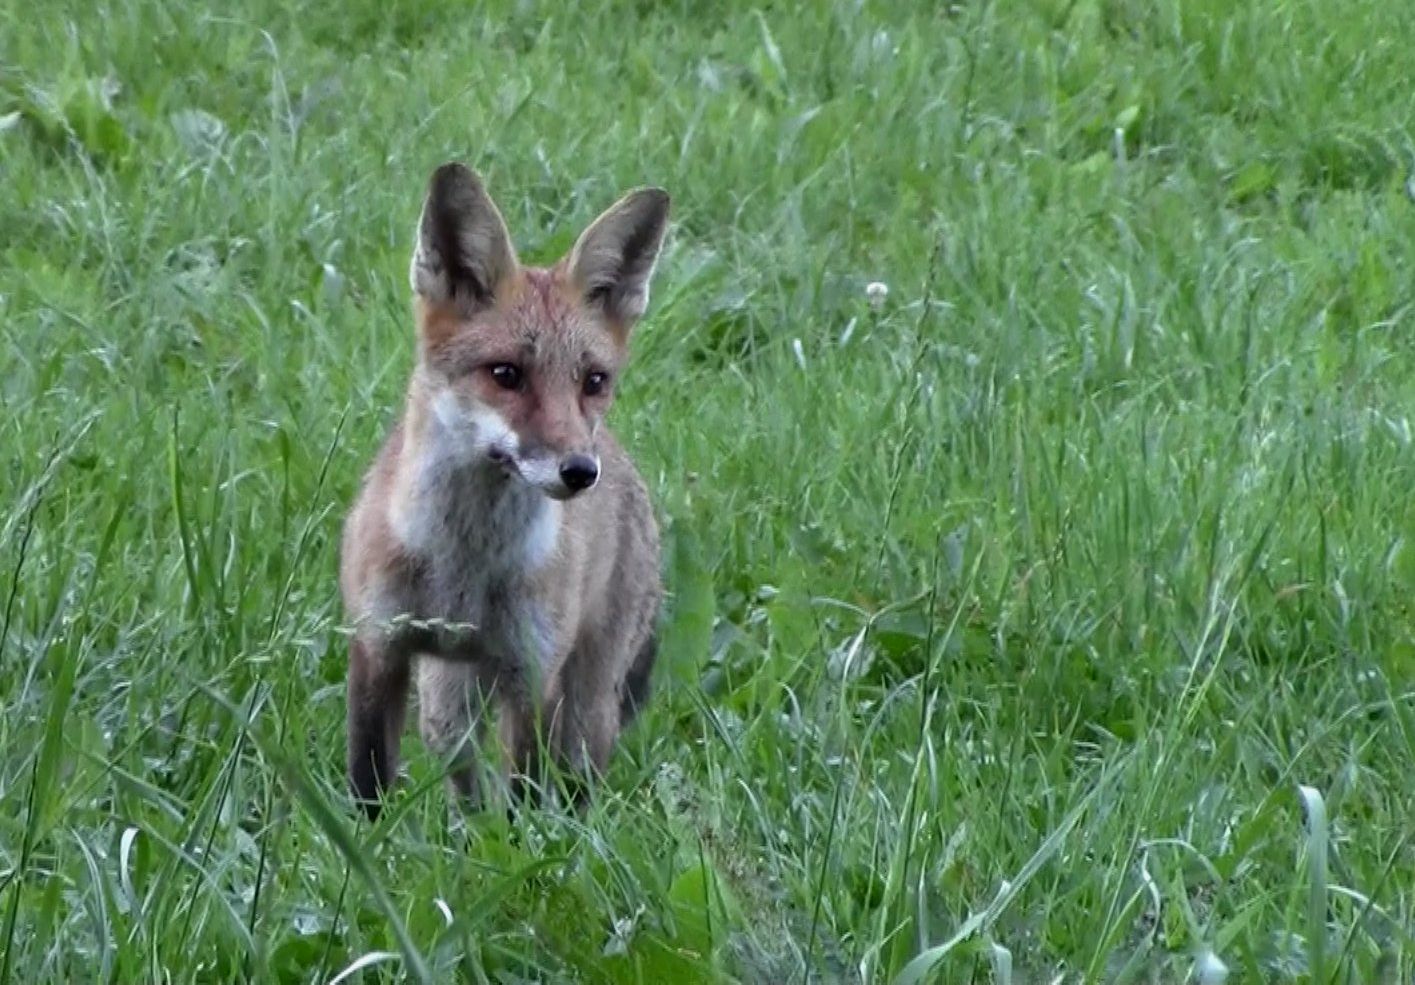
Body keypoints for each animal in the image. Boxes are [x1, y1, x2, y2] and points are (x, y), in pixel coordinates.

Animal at [342, 163, 673, 820]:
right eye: (505, 375)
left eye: (593, 381)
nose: (580, 471)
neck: (461, 564)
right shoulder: (377, 644)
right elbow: (367, 787)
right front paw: (356, 842)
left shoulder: (533, 675)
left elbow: (523, 804)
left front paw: (521, 846)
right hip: (446, 711)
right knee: (468, 785)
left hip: (586, 708)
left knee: (568, 785)